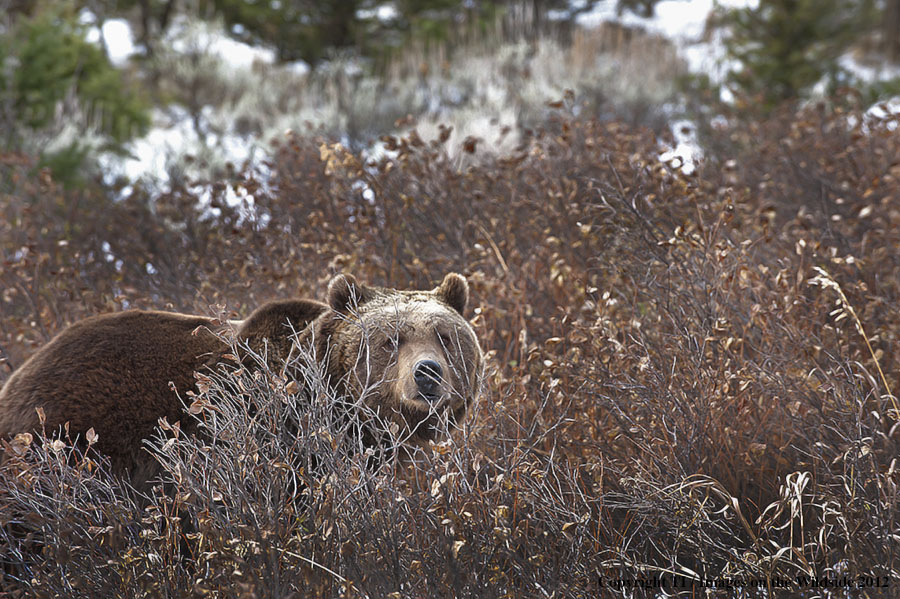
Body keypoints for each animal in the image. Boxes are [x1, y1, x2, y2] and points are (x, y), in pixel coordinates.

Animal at [0, 274, 486, 486]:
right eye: (391, 340)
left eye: (445, 336)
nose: (427, 372)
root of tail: (20, 374)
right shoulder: (275, 434)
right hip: (69, 437)